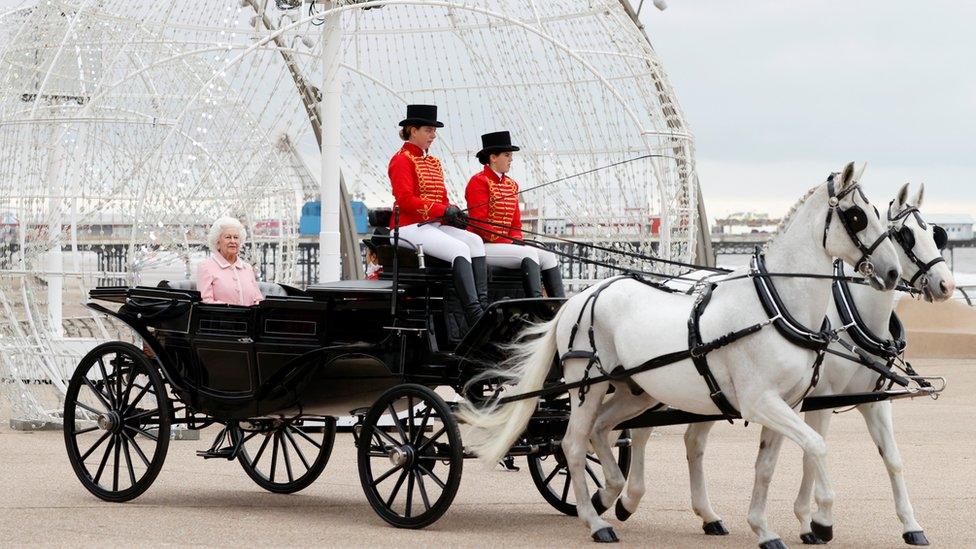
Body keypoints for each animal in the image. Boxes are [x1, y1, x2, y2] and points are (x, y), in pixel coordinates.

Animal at [462, 162, 904, 544]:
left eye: (879, 213)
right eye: (856, 215)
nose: (893, 272)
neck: (774, 305)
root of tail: (583, 295)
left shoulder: (788, 404)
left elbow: (766, 467)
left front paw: (763, 528)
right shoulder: (761, 402)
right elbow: (816, 445)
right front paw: (822, 519)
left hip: (634, 390)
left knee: (603, 430)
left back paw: (613, 493)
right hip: (587, 386)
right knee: (572, 443)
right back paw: (596, 520)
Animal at [672, 181, 952, 544]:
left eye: (935, 234)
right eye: (905, 235)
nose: (946, 284)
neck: (853, 316)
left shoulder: (874, 401)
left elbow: (892, 458)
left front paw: (911, 525)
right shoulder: (820, 398)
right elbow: (811, 454)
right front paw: (815, 521)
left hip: (709, 394)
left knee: (693, 440)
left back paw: (708, 516)